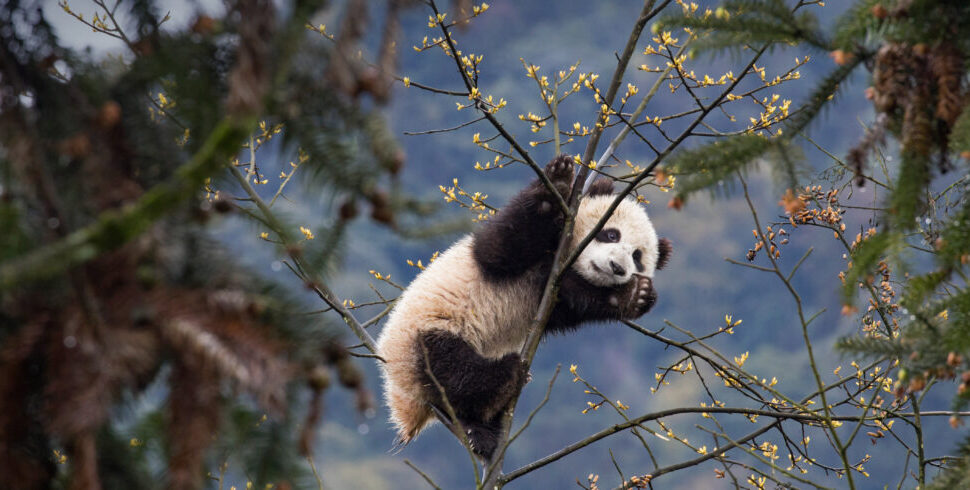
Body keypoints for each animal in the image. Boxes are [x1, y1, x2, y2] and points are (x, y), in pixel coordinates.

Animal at [375, 154, 671, 458]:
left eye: (637, 257)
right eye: (612, 235)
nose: (616, 267)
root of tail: (405, 403)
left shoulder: (552, 291)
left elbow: (575, 302)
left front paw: (635, 295)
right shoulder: (505, 253)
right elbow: (502, 247)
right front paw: (559, 181)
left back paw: (484, 428)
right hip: (424, 335)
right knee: (452, 371)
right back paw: (504, 383)